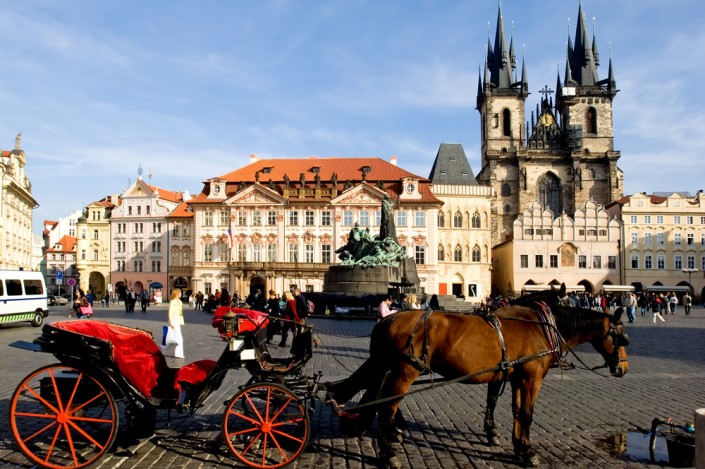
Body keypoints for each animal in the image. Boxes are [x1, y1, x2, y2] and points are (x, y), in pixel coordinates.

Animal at [325, 288, 629, 467]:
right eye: (621, 337)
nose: (623, 368)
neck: (543, 326)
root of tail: (389, 318)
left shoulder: (516, 376)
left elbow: (515, 410)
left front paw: (516, 446)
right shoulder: (531, 378)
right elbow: (527, 414)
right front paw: (528, 452)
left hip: (392, 368)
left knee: (382, 401)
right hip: (404, 370)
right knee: (387, 406)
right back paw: (389, 453)